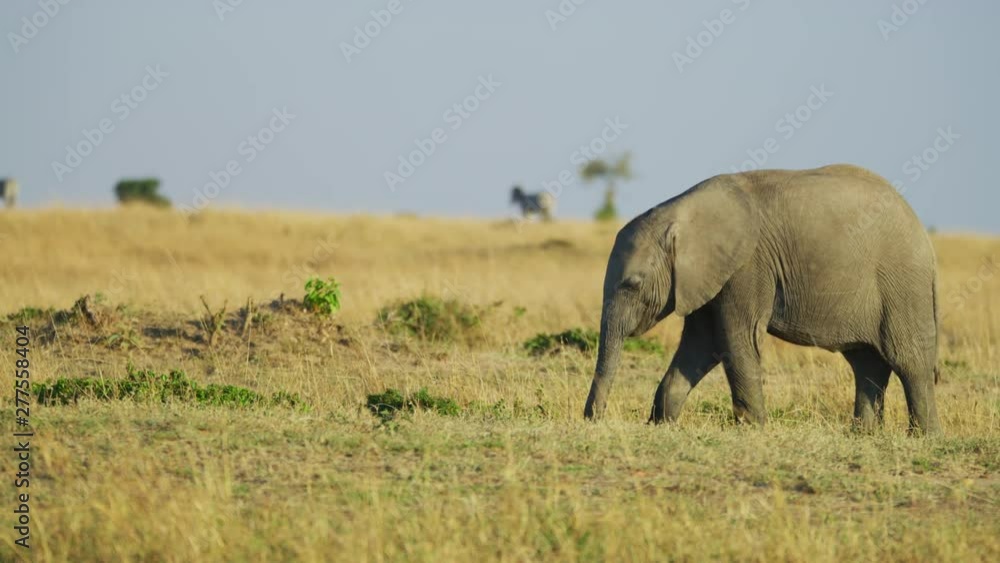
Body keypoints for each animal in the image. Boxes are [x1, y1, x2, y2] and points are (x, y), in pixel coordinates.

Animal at [583, 164, 942, 434]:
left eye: (632, 284)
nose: (592, 420)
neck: (681, 211)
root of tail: (924, 237)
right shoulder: (707, 277)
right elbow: (702, 343)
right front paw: (663, 424)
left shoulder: (746, 266)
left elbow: (735, 336)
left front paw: (753, 428)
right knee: (867, 363)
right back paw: (863, 434)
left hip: (902, 285)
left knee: (908, 361)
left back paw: (923, 437)